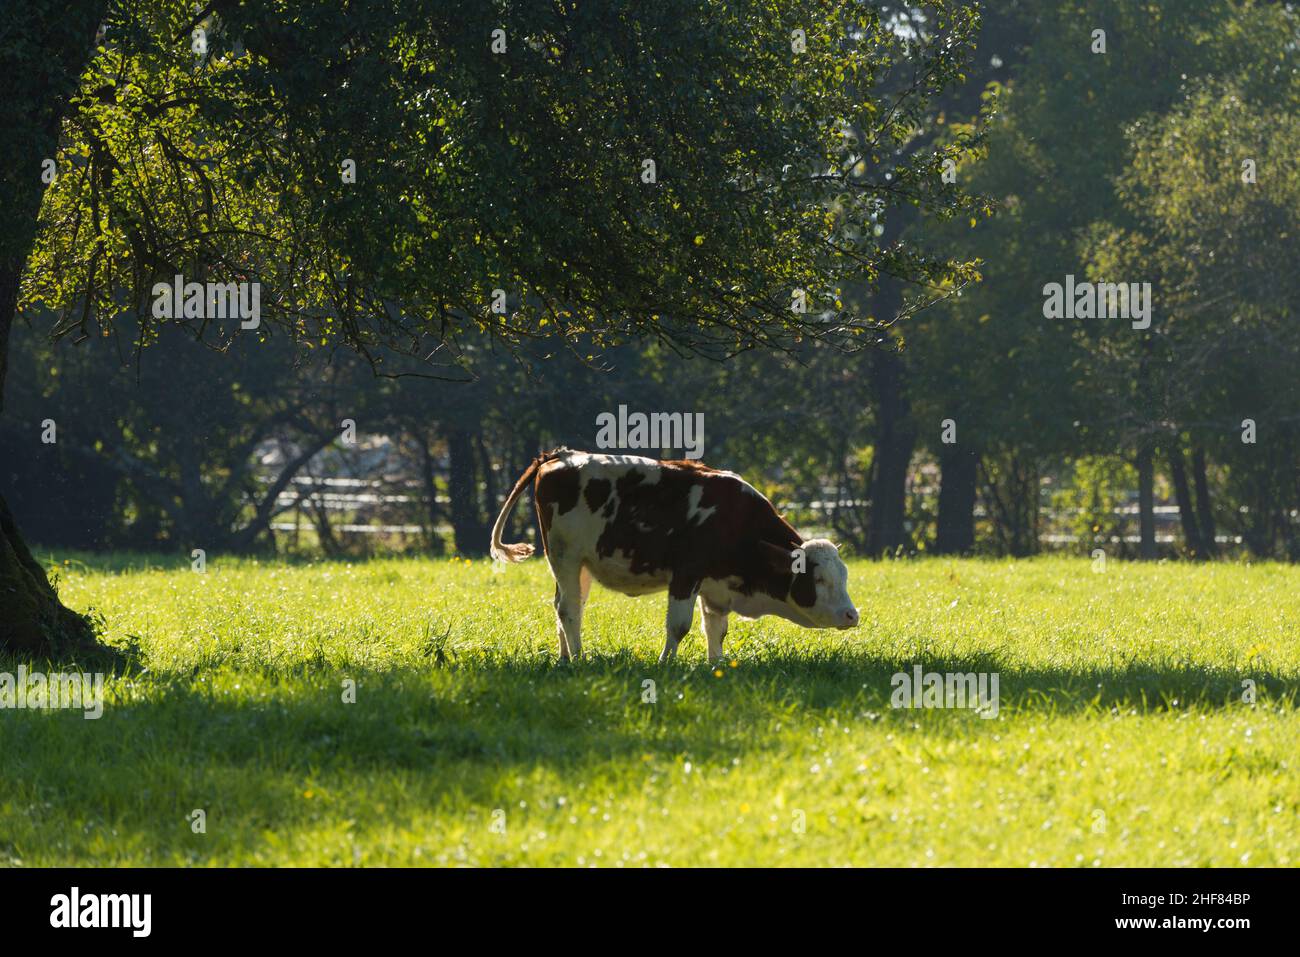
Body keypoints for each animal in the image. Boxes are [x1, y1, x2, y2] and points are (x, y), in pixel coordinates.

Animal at [486, 447, 852, 657]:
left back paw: (565, 656)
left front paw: (716, 665)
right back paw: (579, 659)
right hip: (565, 555)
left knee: (567, 604)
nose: (853, 615)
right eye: (818, 580)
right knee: (568, 609)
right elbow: (679, 626)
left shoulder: (715, 586)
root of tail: (559, 455)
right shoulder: (686, 573)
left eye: (844, 577)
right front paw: (666, 664)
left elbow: (716, 628)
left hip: (580, 565)